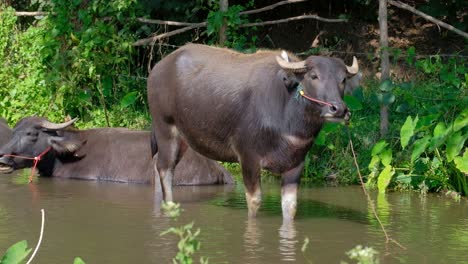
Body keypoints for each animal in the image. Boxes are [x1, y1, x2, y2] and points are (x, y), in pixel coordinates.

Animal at [148, 43, 360, 220]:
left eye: (342, 79)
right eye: (313, 76)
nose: (338, 109)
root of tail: (157, 70)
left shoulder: (296, 163)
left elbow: (290, 207)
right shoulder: (248, 157)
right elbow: (255, 201)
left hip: (183, 139)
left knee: (160, 166)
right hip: (165, 128)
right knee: (165, 169)